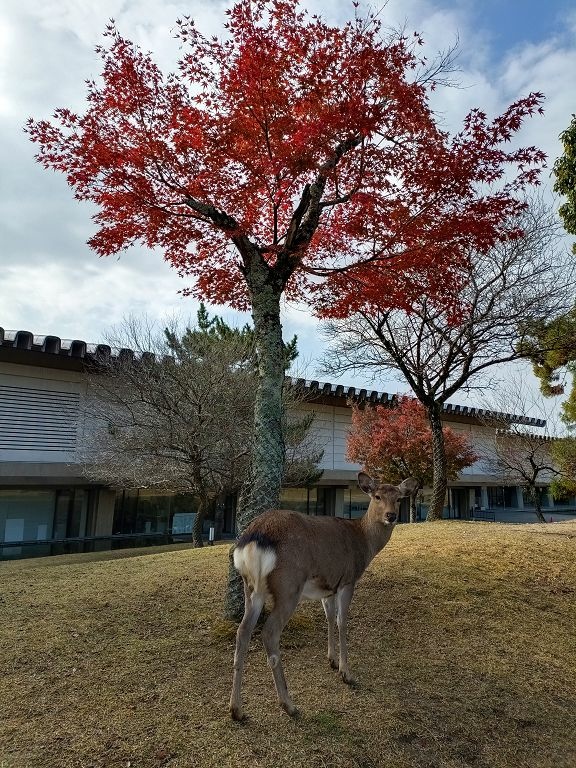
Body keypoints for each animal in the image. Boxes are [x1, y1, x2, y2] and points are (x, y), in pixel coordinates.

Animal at [230, 474, 418, 720]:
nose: (391, 516)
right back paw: (289, 705)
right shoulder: (348, 579)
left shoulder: (328, 588)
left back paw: (236, 709)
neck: (363, 542)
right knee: (269, 632)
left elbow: (329, 617)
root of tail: (254, 538)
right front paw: (346, 673)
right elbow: (342, 621)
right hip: (288, 586)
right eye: (377, 496)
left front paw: (332, 660)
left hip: (251, 589)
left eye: (399, 498)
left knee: (242, 631)